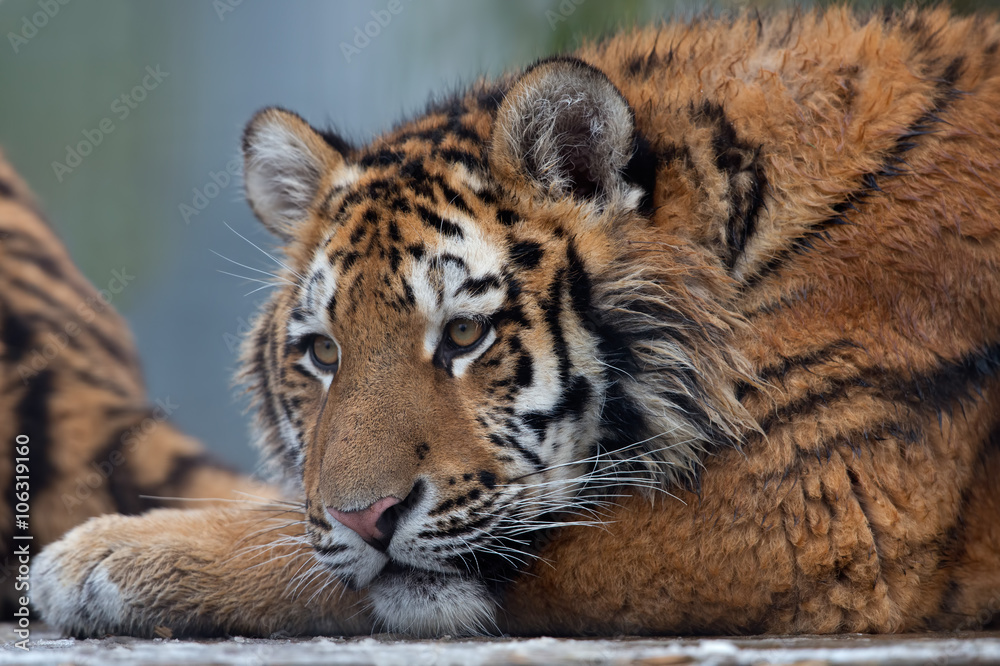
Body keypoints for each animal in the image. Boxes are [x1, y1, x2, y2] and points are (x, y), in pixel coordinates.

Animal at [20, 6, 1000, 638]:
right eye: (323, 353)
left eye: (463, 336)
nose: (368, 518)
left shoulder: (814, 500)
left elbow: (298, 547)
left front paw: (98, 558)